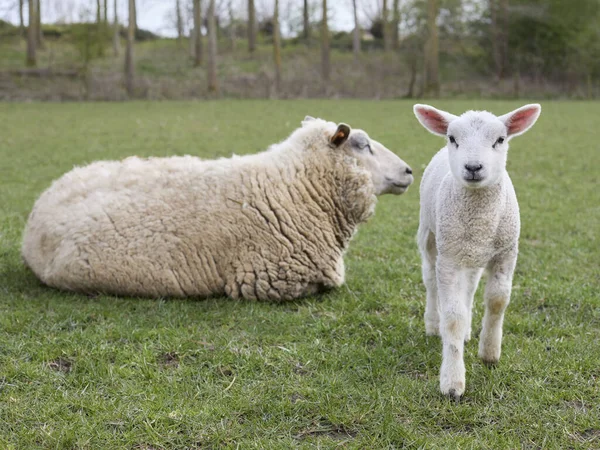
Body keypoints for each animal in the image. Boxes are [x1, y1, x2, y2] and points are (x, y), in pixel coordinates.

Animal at [414, 103, 540, 400]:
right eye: (452, 138)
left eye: (500, 139)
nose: (473, 167)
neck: (479, 217)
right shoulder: (448, 259)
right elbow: (452, 317)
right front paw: (452, 382)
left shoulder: (506, 253)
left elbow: (497, 301)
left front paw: (490, 353)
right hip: (431, 237)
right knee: (430, 282)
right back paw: (432, 324)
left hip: (472, 256)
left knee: (469, 289)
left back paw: (469, 330)